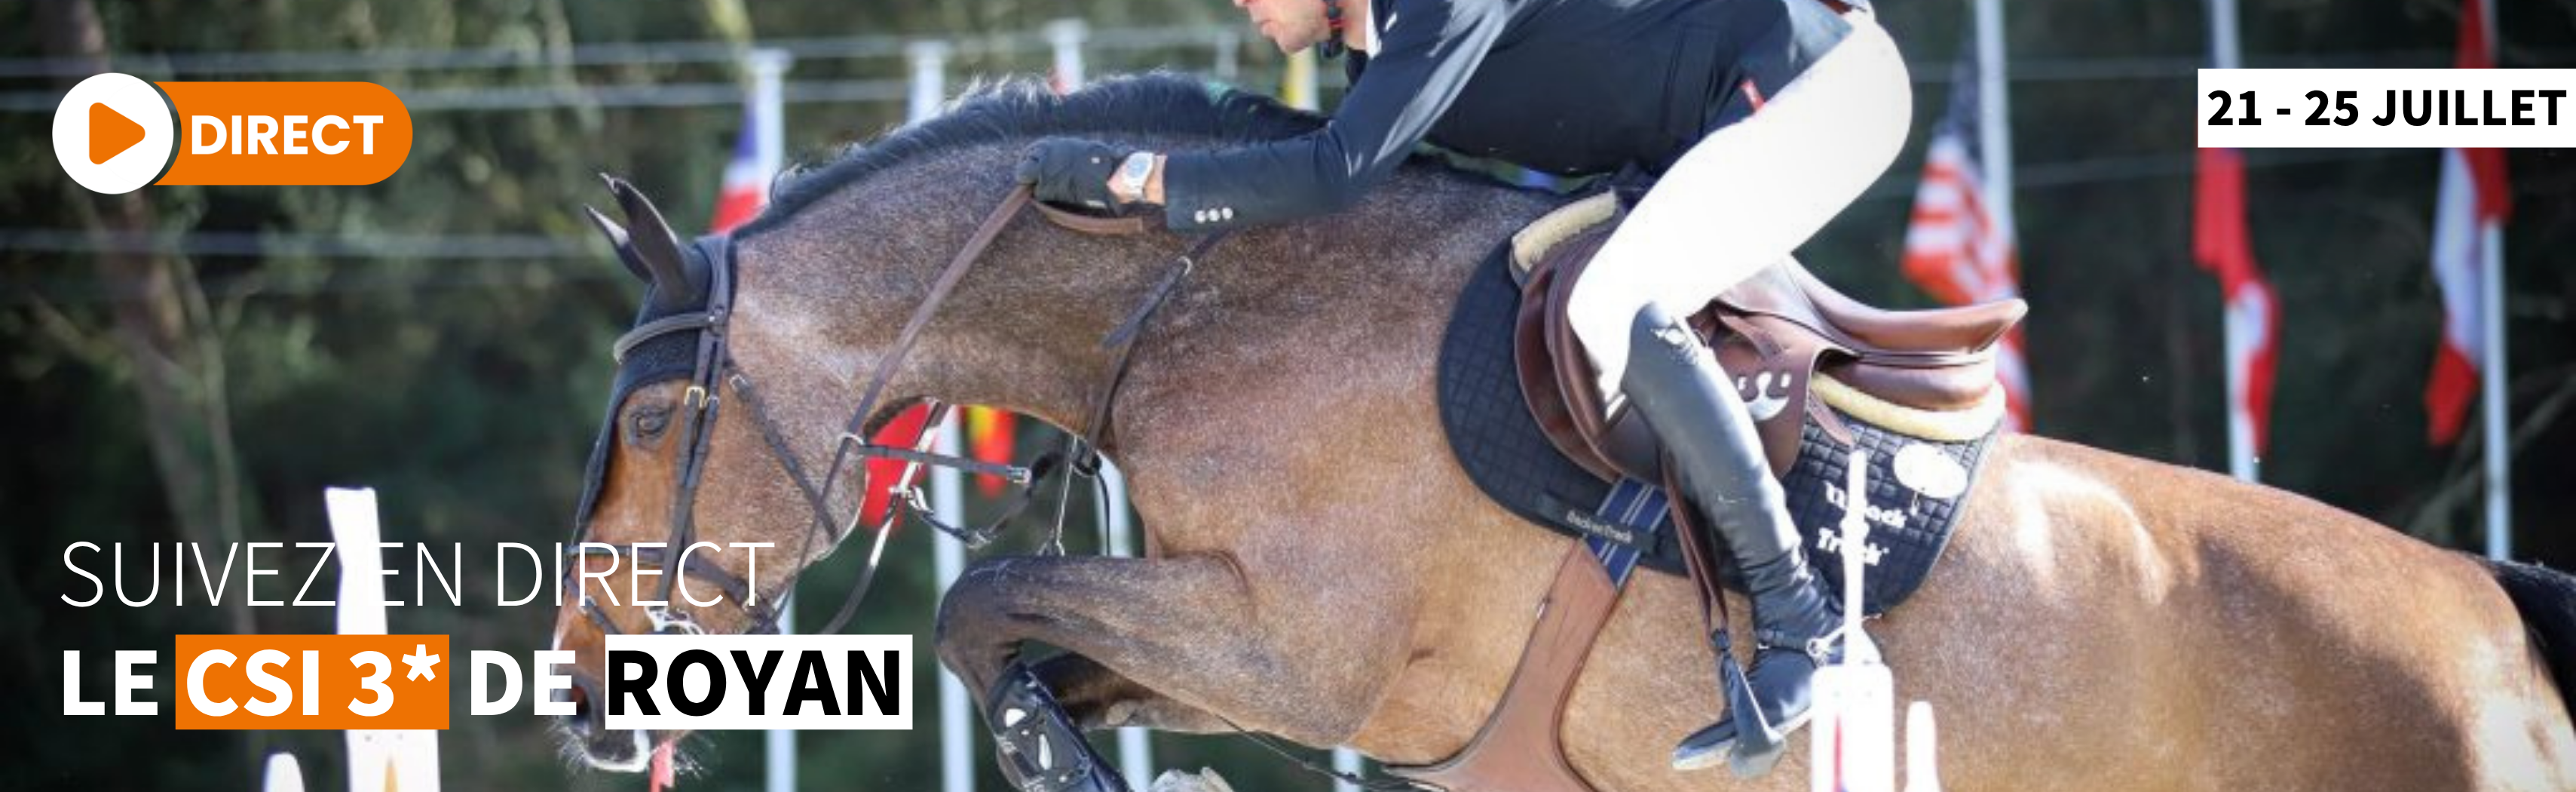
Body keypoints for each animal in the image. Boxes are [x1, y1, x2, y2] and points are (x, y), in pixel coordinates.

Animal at [549, 74, 2576, 791]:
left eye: (649, 415)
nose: (576, 687)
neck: (1198, 302)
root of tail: (2487, 614)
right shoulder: (1241, 640)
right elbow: (1022, 637)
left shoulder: (1306, 649)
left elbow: (990, 614)